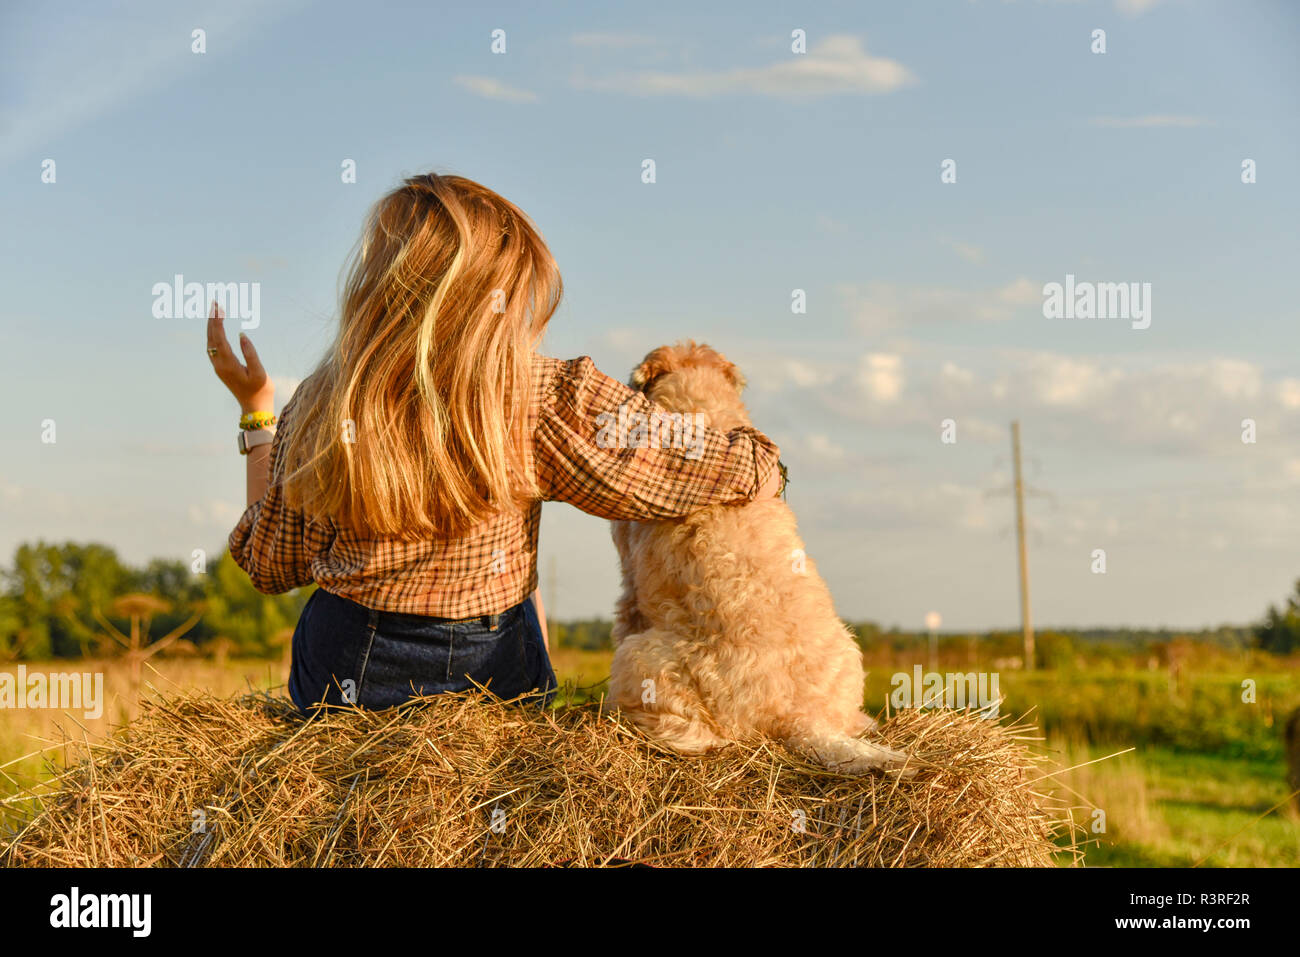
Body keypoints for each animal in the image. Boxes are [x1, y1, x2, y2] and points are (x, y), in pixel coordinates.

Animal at [608, 343, 915, 780]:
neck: (702, 402)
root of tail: (798, 717)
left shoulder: (629, 581)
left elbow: (624, 615)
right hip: (847, 652)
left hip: (641, 660)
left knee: (694, 736)